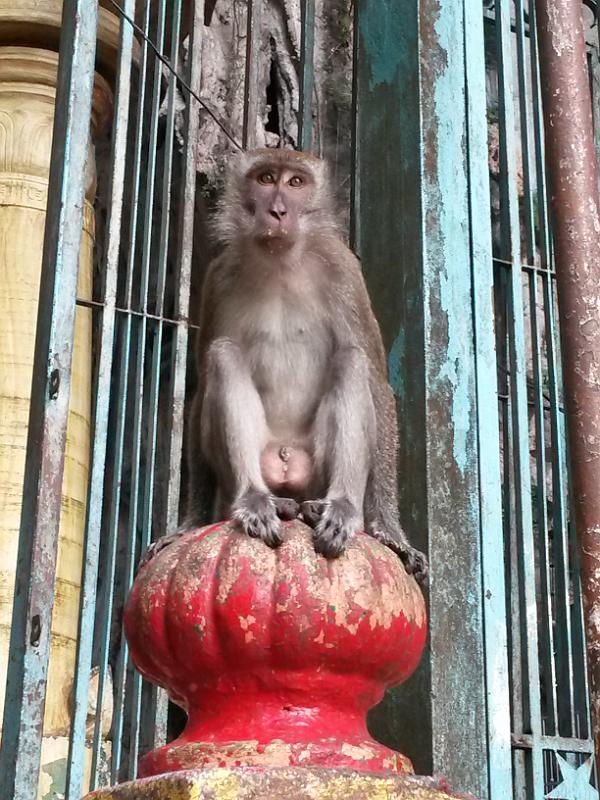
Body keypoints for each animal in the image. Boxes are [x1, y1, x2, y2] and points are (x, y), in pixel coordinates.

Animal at [145, 148, 426, 580]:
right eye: (266, 178)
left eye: (296, 182)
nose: (278, 211)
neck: (278, 260)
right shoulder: (218, 278)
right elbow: (203, 383)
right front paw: (190, 522)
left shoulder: (344, 271)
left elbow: (377, 381)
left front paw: (391, 533)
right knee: (223, 354)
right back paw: (258, 501)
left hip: (316, 471)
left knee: (352, 359)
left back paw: (337, 508)